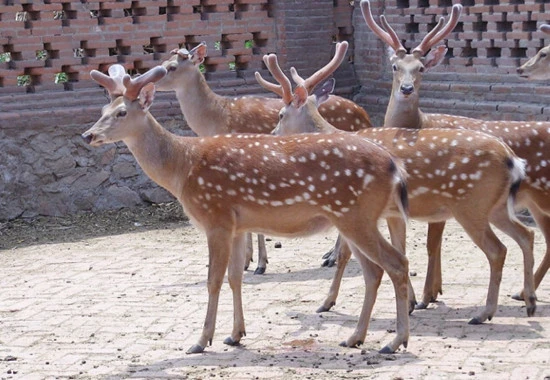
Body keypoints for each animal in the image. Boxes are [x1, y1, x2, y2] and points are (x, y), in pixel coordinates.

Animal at [152, 41, 376, 274]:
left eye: (172, 67)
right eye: (164, 62)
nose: (150, 78)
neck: (217, 118)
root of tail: (365, 115)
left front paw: (258, 263)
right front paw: (248, 260)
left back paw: (331, 257)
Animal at [258, 42, 540, 324]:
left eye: (281, 114)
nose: (272, 134)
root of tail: (512, 158)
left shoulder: (352, 205)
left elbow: (346, 254)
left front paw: (327, 302)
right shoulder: (388, 213)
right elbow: (399, 248)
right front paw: (412, 302)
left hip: (471, 205)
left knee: (498, 249)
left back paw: (485, 312)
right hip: (496, 206)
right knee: (526, 235)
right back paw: (529, 301)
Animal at [362, 0, 550, 304]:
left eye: (421, 68)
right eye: (394, 66)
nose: (406, 89)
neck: (420, 123)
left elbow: (431, 244)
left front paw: (427, 295)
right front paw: (434, 291)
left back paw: (522, 293)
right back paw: (523, 292)